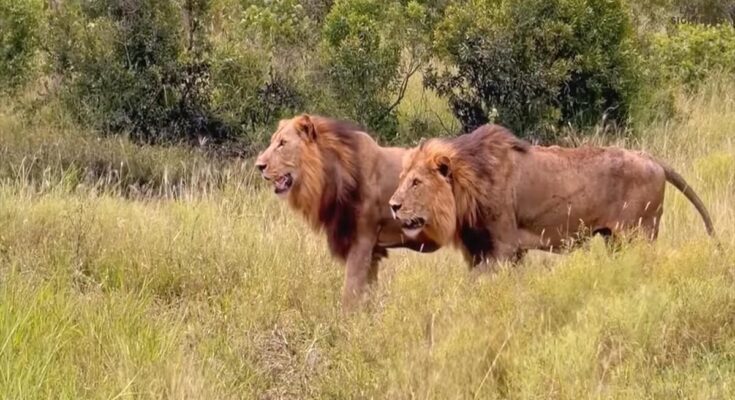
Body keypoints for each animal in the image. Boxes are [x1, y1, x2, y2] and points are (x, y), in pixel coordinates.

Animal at [255, 114, 439, 309]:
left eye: (283, 143)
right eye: (272, 142)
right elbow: (368, 294)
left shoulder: (362, 240)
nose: (259, 165)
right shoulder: (373, 251)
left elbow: (350, 294)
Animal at [388, 124, 715, 268]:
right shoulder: (482, 250)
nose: (393, 205)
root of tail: (653, 160)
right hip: (614, 239)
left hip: (638, 234)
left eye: (416, 182)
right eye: (402, 179)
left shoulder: (504, 246)